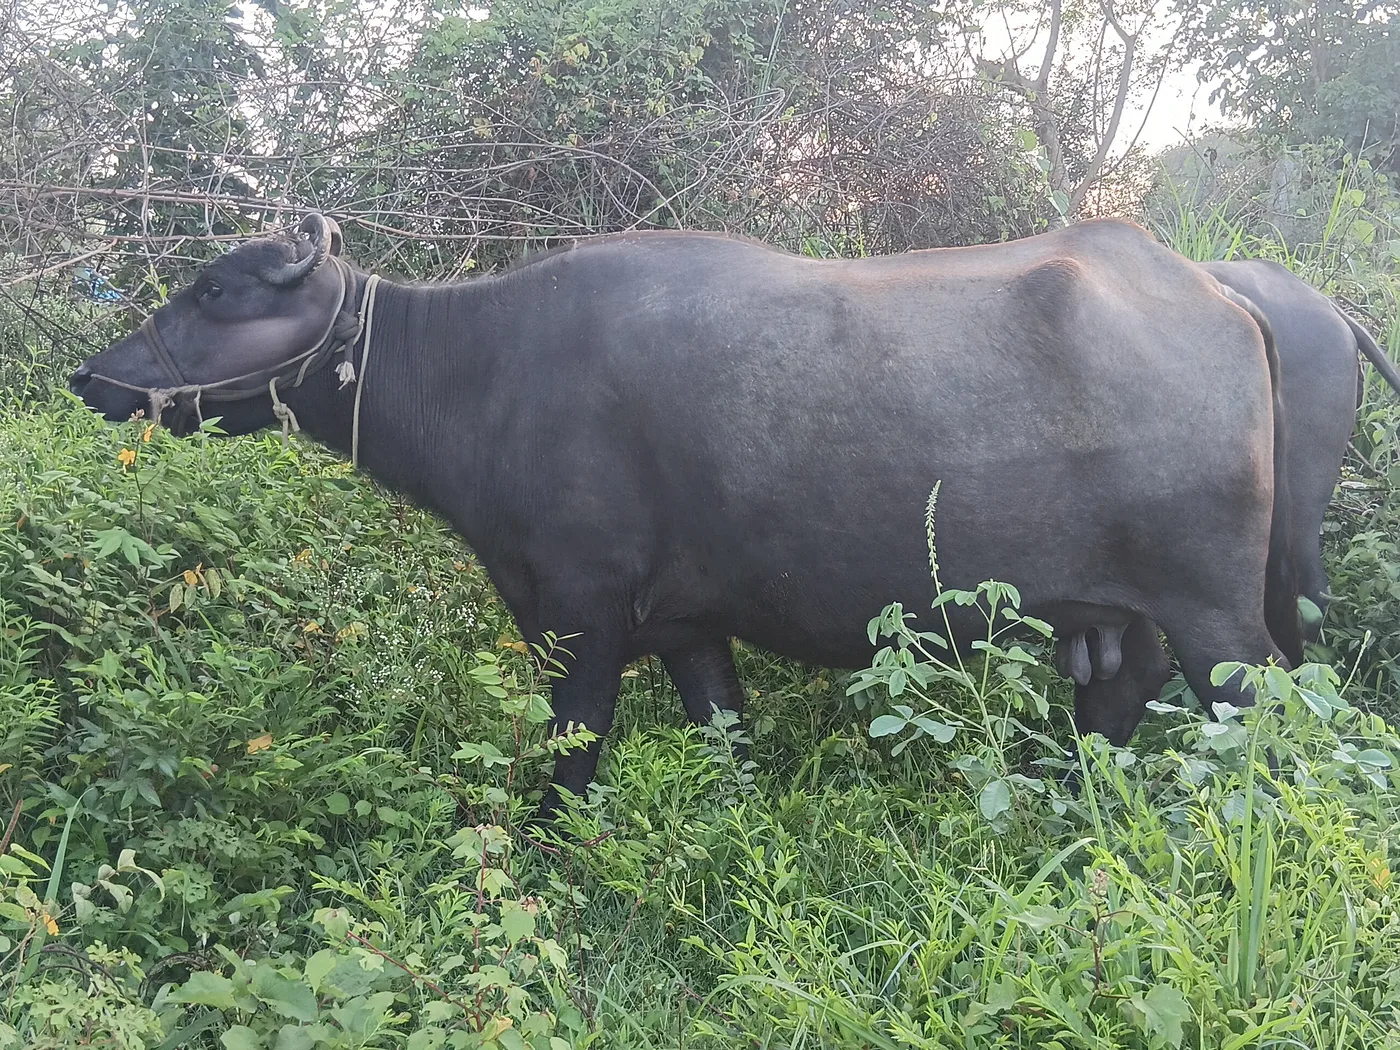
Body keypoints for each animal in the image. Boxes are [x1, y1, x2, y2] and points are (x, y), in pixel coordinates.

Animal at [70, 213, 1301, 813]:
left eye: (214, 290)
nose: (95, 376)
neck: (480, 369)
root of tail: (1221, 295)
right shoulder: (689, 629)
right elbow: (725, 740)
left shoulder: (577, 612)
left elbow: (571, 751)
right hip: (1121, 612)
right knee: (1121, 696)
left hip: (1215, 616)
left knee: (1263, 719)